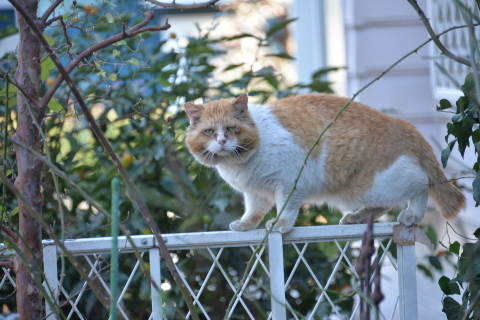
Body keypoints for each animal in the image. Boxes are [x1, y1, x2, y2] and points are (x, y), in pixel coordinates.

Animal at [184, 92, 464, 232]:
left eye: (232, 129)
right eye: (209, 132)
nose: (222, 141)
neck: (239, 166)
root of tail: (407, 126)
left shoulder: (290, 183)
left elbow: (286, 210)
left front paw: (281, 225)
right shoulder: (256, 193)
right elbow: (253, 212)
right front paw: (245, 224)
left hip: (380, 183)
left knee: (421, 185)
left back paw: (412, 215)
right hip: (362, 191)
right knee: (382, 206)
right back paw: (356, 218)